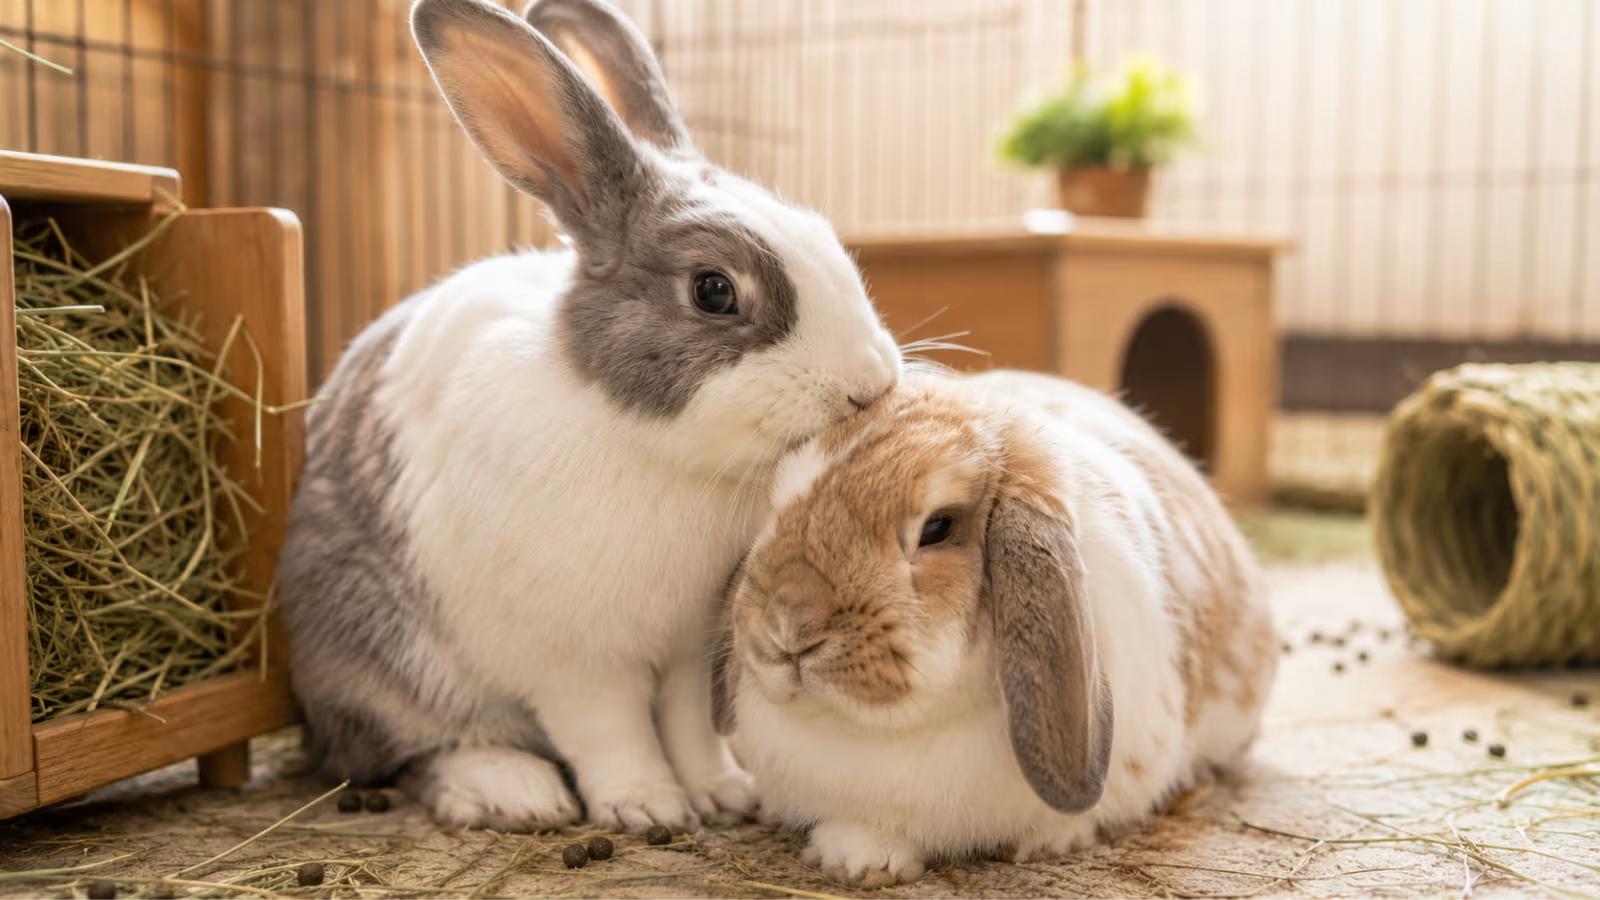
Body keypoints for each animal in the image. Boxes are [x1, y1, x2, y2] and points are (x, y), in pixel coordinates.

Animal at [274, 0, 900, 834]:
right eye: (713, 290)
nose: (872, 385)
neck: (658, 451)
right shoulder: (574, 661)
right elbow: (611, 730)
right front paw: (647, 806)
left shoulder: (689, 648)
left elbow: (688, 725)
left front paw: (723, 792)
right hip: (377, 665)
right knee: (398, 755)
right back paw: (511, 790)